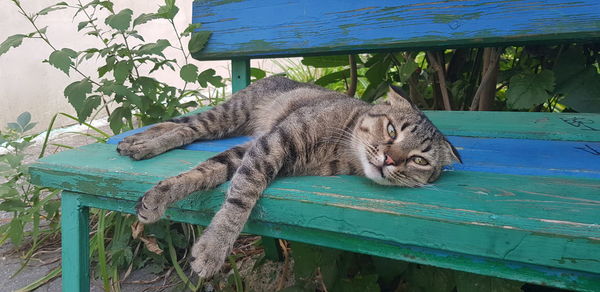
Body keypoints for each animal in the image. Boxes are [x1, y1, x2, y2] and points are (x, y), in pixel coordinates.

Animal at [118, 75, 464, 278]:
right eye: (392, 130)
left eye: (419, 160)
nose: (391, 159)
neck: (342, 147)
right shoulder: (271, 144)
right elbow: (241, 195)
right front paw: (214, 248)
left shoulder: (252, 150)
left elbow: (205, 172)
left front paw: (163, 196)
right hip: (227, 116)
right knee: (185, 128)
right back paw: (142, 143)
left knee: (180, 127)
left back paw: (137, 141)